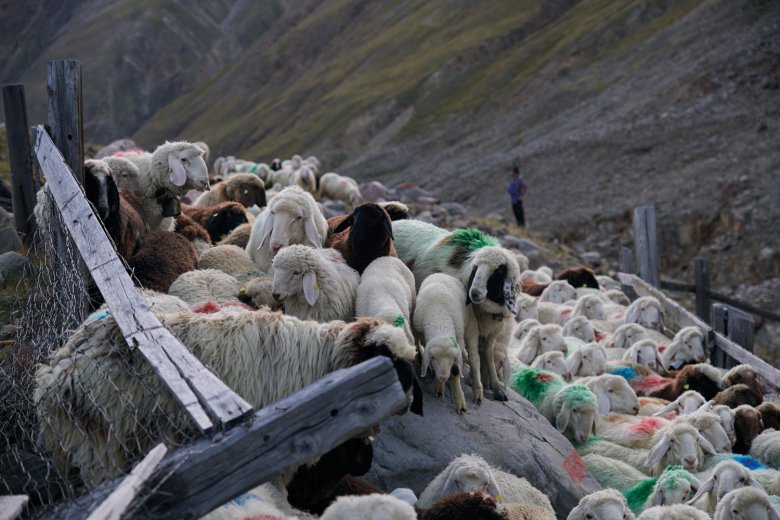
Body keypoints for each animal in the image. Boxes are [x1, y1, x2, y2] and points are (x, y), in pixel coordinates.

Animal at [414, 272, 476, 414]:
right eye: (433, 358)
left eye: (452, 358)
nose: (443, 377)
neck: (439, 317)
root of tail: (442, 273)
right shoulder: (419, 333)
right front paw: (439, 385)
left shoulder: (459, 341)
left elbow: (457, 371)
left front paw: (459, 400)